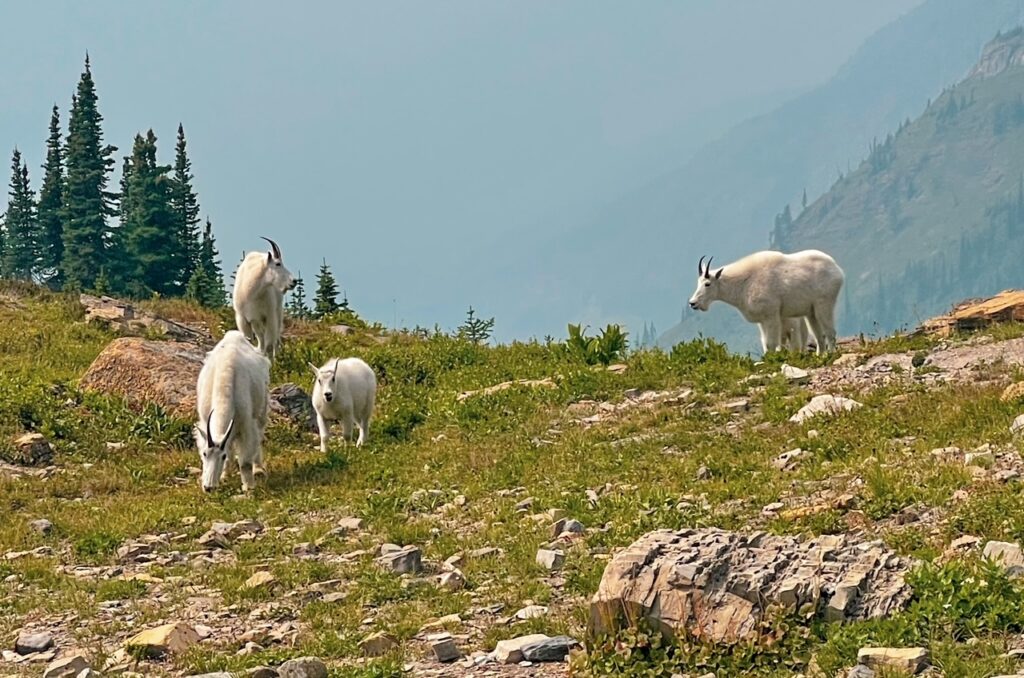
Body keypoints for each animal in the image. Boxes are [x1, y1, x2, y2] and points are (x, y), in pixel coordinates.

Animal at [193, 329, 270, 493]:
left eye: (221, 456)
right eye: (204, 454)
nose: (208, 487)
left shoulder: (246, 425)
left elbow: (245, 462)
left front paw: (248, 487)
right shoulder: (205, 422)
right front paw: (223, 477)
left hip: (262, 409)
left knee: (259, 436)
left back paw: (258, 469)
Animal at [688, 249, 847, 356]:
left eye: (707, 284)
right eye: (698, 282)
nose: (693, 303)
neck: (743, 283)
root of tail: (837, 270)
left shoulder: (771, 316)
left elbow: (771, 343)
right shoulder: (762, 321)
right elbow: (766, 344)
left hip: (824, 304)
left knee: (830, 331)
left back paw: (830, 355)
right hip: (810, 312)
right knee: (819, 335)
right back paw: (820, 356)